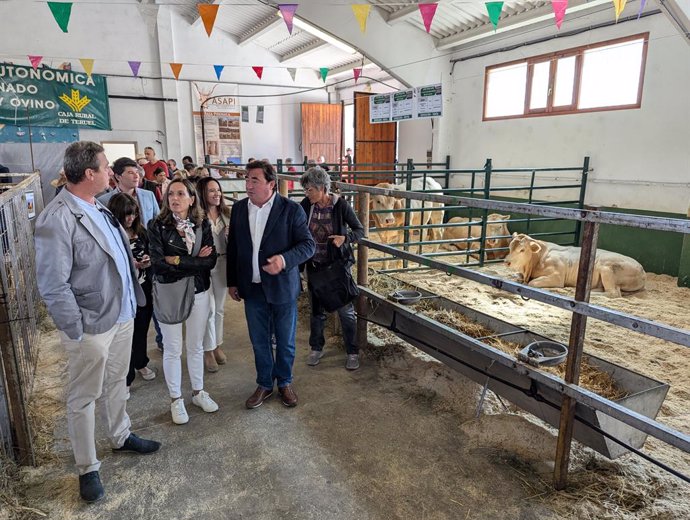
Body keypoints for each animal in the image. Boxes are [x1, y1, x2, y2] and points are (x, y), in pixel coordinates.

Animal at [502, 234, 644, 298]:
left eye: (522, 250)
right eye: (510, 247)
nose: (506, 261)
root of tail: (642, 270)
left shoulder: (557, 277)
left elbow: (532, 283)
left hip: (607, 269)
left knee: (613, 293)